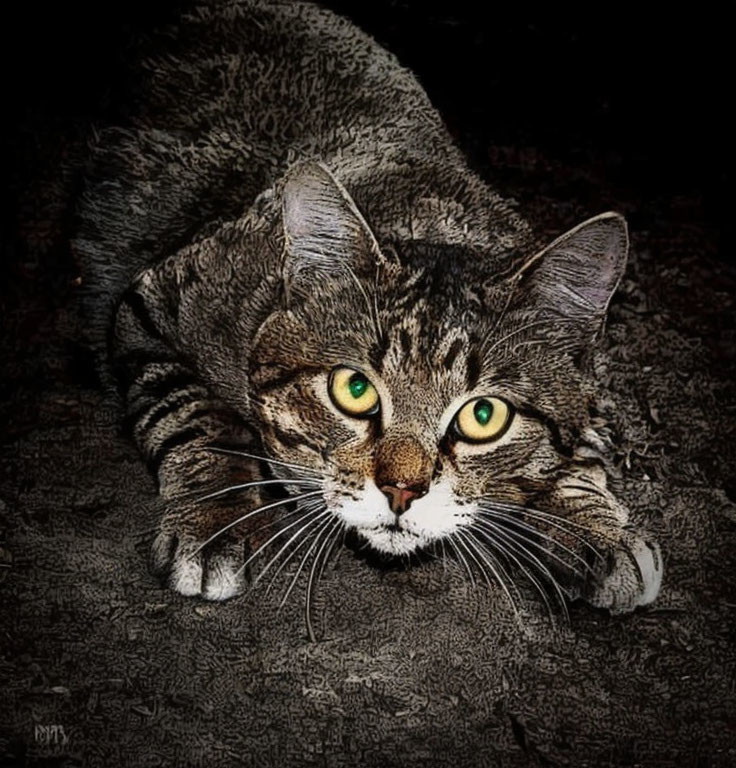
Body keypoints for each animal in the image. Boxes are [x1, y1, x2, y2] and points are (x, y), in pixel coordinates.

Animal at [72, 0, 664, 616]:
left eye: (484, 416)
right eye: (353, 389)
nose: (402, 491)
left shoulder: (588, 383)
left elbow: (582, 447)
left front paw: (595, 525)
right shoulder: (151, 299)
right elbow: (197, 415)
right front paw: (215, 516)